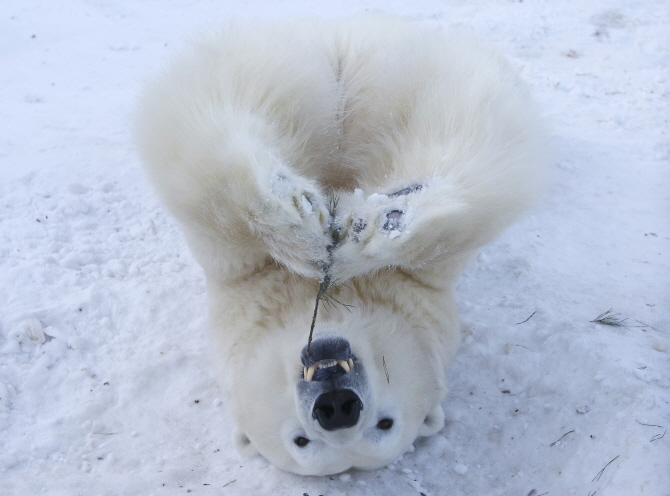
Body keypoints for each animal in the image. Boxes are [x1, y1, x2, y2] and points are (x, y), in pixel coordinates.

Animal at [135, 18, 544, 476]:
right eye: (300, 441)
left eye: (385, 424)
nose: (337, 406)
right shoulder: (236, 271)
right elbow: (205, 158)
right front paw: (301, 223)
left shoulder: (426, 281)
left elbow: (472, 152)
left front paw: (369, 229)